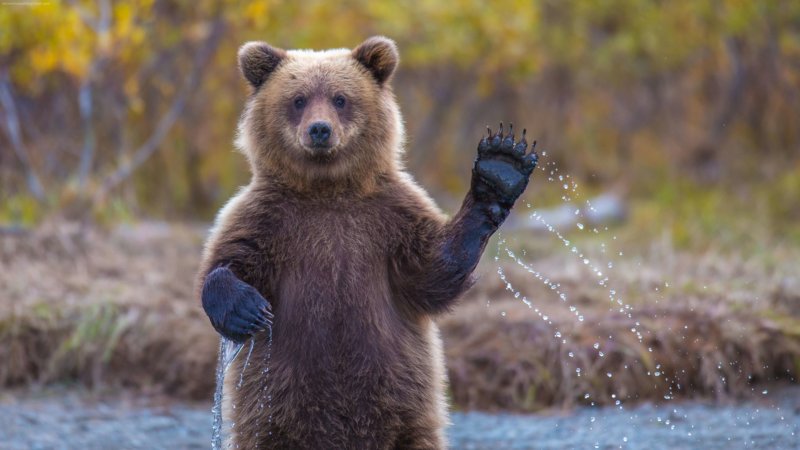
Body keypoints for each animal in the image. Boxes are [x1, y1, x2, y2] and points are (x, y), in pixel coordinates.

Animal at [198, 36, 536, 450]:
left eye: (341, 98)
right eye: (298, 99)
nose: (320, 130)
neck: (328, 189)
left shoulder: (390, 217)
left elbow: (432, 272)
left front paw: (501, 167)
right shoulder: (268, 218)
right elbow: (228, 260)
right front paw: (247, 309)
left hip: (406, 409)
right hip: (272, 414)